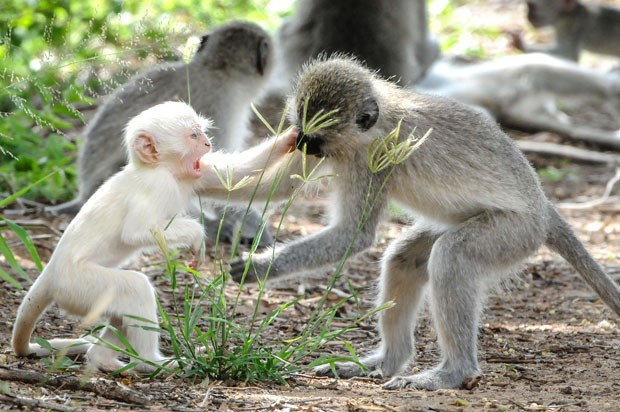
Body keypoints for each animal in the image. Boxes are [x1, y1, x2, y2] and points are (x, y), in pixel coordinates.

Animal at [11, 100, 298, 374]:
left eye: (201, 132)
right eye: (193, 135)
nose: (207, 143)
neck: (162, 169)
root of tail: (51, 270)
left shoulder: (193, 174)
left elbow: (239, 177)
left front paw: (291, 137)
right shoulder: (157, 184)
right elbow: (137, 232)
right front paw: (197, 236)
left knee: (119, 312)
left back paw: (103, 359)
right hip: (76, 286)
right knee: (133, 288)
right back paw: (150, 362)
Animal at [230, 57, 620, 390]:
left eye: (316, 136)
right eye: (301, 129)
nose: (300, 144)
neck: (380, 120)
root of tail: (542, 206)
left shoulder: (373, 161)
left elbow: (352, 236)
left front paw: (261, 267)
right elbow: (269, 184)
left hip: (516, 232)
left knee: (452, 257)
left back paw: (453, 373)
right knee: (403, 258)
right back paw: (387, 362)